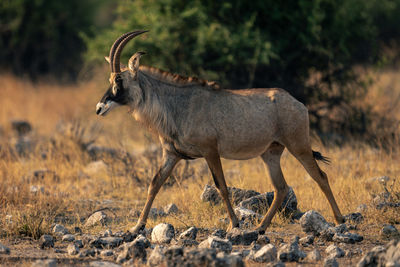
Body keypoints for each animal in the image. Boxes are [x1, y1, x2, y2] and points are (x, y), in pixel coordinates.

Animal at [96, 30, 344, 234]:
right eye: (110, 79)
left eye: (119, 79)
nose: (99, 108)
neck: (177, 104)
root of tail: (298, 103)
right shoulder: (172, 155)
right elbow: (154, 184)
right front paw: (137, 226)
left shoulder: (210, 151)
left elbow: (222, 187)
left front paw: (234, 224)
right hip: (270, 154)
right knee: (281, 188)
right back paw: (261, 228)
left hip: (298, 146)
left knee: (320, 177)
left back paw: (339, 220)